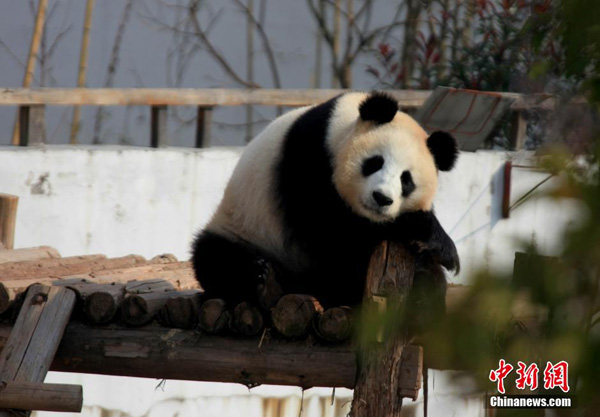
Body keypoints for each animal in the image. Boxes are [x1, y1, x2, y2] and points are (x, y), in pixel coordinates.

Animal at [192, 91, 460, 308]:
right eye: (375, 162)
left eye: (406, 180)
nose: (382, 198)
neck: (337, 130)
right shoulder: (309, 161)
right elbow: (332, 230)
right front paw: (418, 228)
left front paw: (438, 248)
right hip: (245, 228)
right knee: (217, 258)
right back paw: (267, 283)